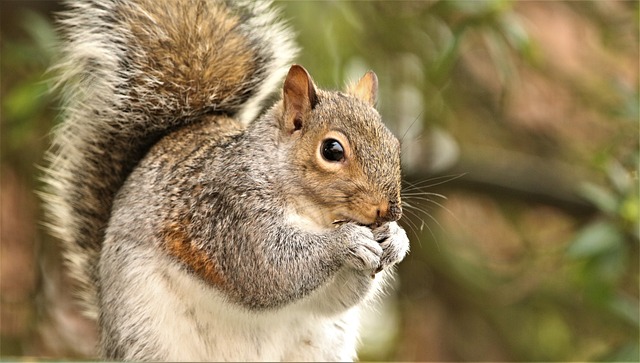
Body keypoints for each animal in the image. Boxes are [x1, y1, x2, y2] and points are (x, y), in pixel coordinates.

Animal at [41, 0, 410, 362]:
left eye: (394, 144)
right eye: (331, 150)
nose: (389, 211)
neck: (314, 214)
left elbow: (333, 300)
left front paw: (394, 239)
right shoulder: (230, 211)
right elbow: (268, 268)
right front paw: (346, 241)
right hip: (146, 333)